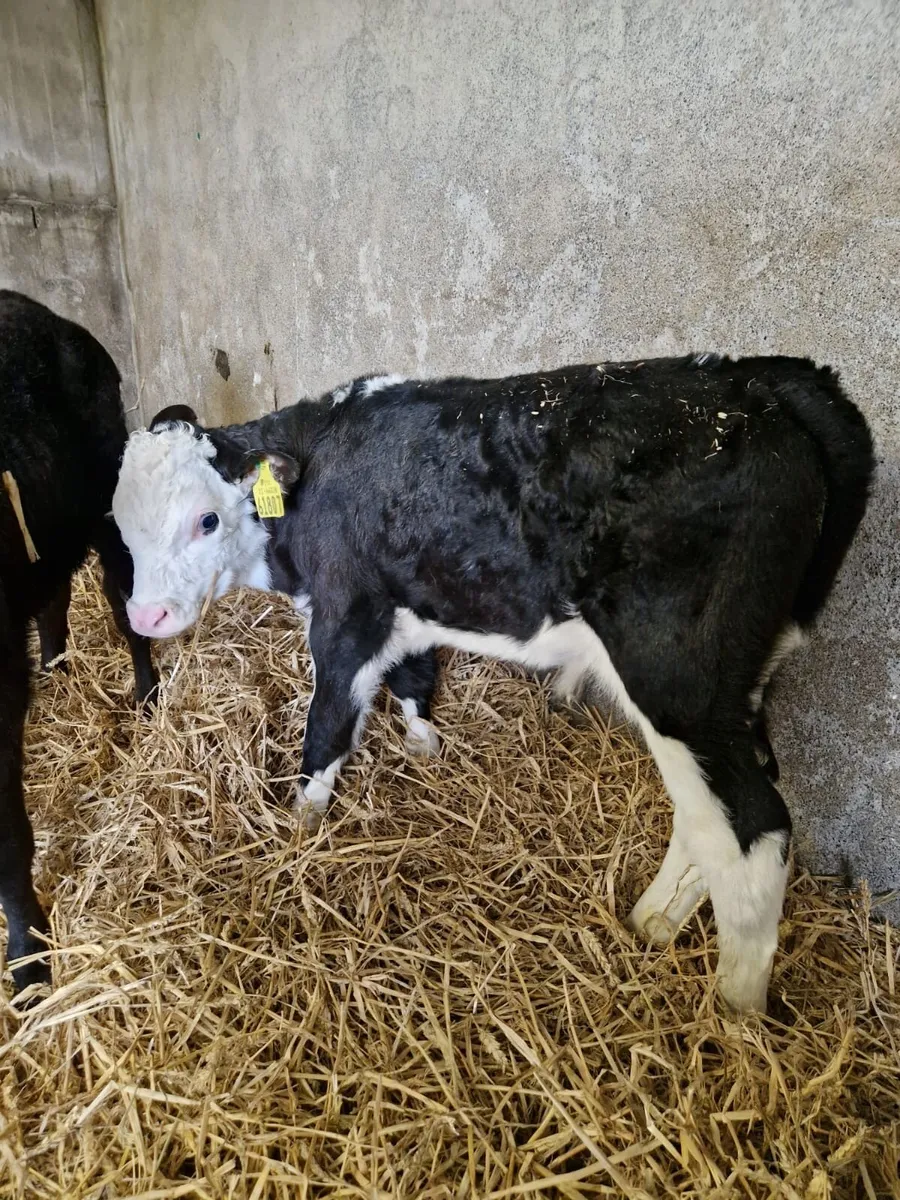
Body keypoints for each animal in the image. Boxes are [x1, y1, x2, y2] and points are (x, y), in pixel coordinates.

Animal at [112, 355, 874, 1013]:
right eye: (122, 528)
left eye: (206, 519)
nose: (145, 616)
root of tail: (771, 383)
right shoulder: (407, 602)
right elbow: (414, 677)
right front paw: (423, 745)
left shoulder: (346, 611)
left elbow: (326, 727)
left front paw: (301, 825)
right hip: (736, 688)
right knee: (708, 816)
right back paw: (651, 922)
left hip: (681, 682)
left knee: (754, 831)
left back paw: (735, 1014)